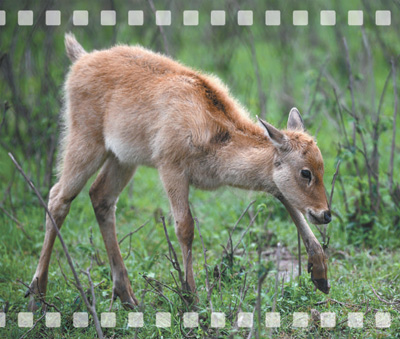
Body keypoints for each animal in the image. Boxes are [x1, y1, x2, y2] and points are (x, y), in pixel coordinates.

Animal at [25, 33, 332, 310]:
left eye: (322, 167)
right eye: (305, 173)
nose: (326, 214)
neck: (216, 132)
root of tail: (81, 58)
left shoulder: (270, 184)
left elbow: (289, 203)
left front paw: (320, 274)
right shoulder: (171, 169)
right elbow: (185, 227)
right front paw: (191, 297)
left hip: (122, 159)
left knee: (101, 198)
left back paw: (128, 297)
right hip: (85, 144)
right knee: (58, 198)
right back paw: (37, 295)